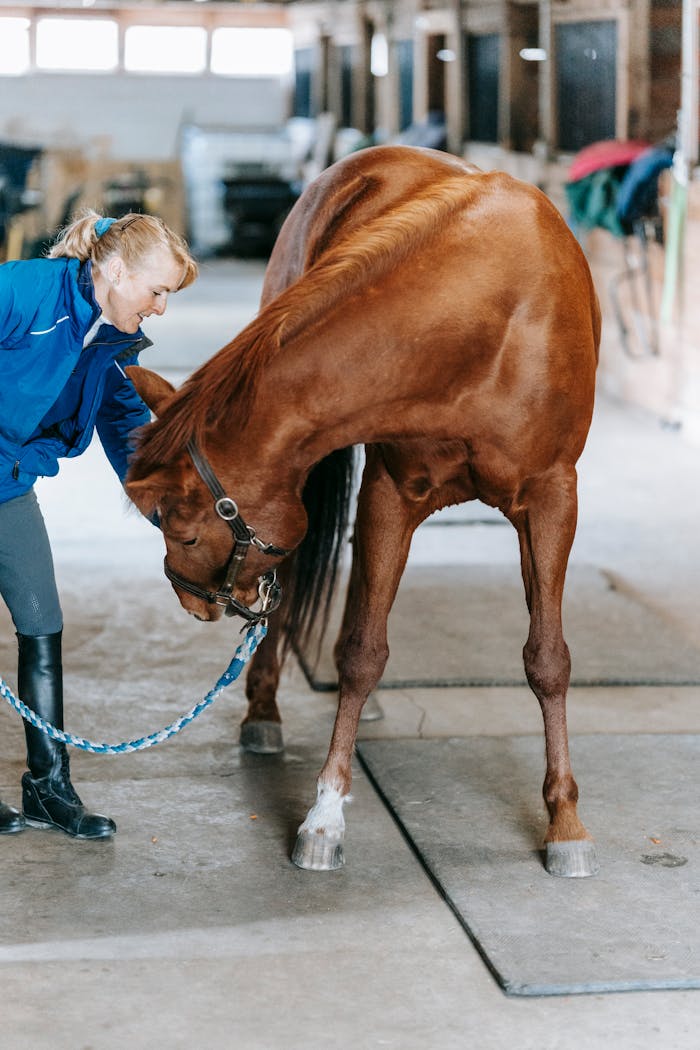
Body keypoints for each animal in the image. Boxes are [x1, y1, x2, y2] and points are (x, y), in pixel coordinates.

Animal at [125, 144, 601, 878]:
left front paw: (566, 824)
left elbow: (548, 659)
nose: (190, 599)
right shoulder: (390, 491)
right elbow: (359, 652)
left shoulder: (553, 498)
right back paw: (265, 710)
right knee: (305, 583)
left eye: (180, 525)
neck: (488, 319)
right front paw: (324, 816)